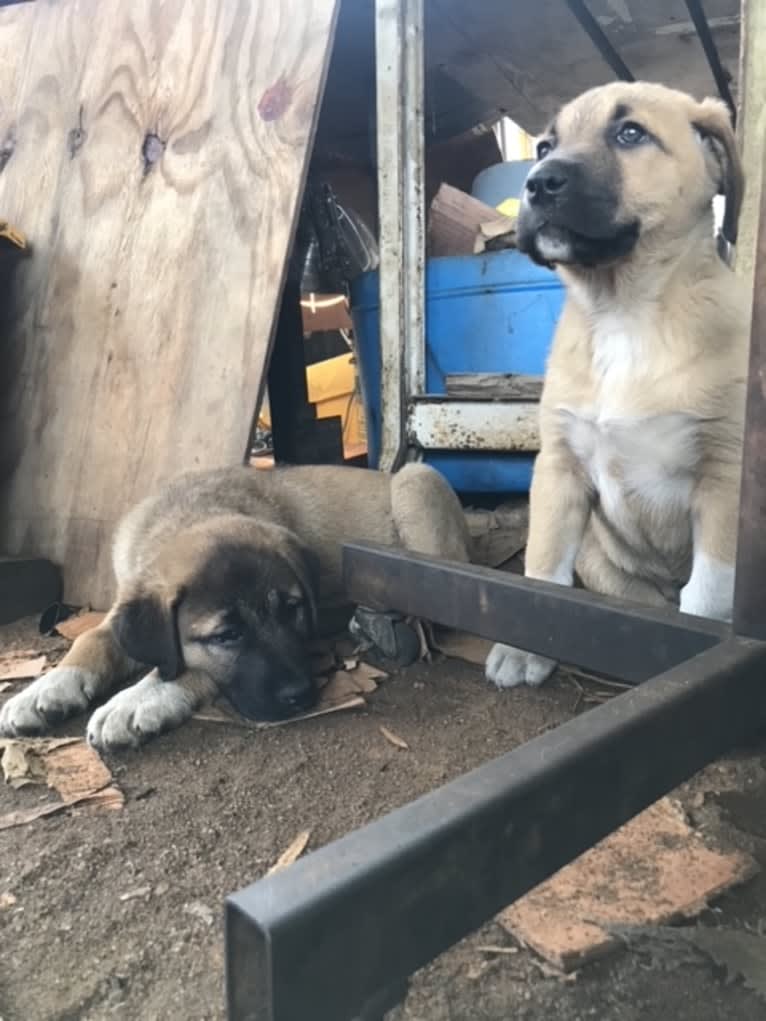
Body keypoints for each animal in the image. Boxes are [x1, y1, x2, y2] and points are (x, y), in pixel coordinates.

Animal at [0, 465, 471, 751]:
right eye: (227, 635)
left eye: (291, 611)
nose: (300, 695)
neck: (194, 514)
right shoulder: (125, 607)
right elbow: (89, 639)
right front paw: (45, 689)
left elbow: (191, 669)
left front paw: (135, 700)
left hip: (417, 481)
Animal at [488, 77, 747, 686]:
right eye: (544, 145)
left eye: (631, 134)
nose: (537, 183)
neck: (624, 313)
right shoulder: (558, 466)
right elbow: (542, 566)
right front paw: (521, 646)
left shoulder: (724, 476)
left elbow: (708, 596)